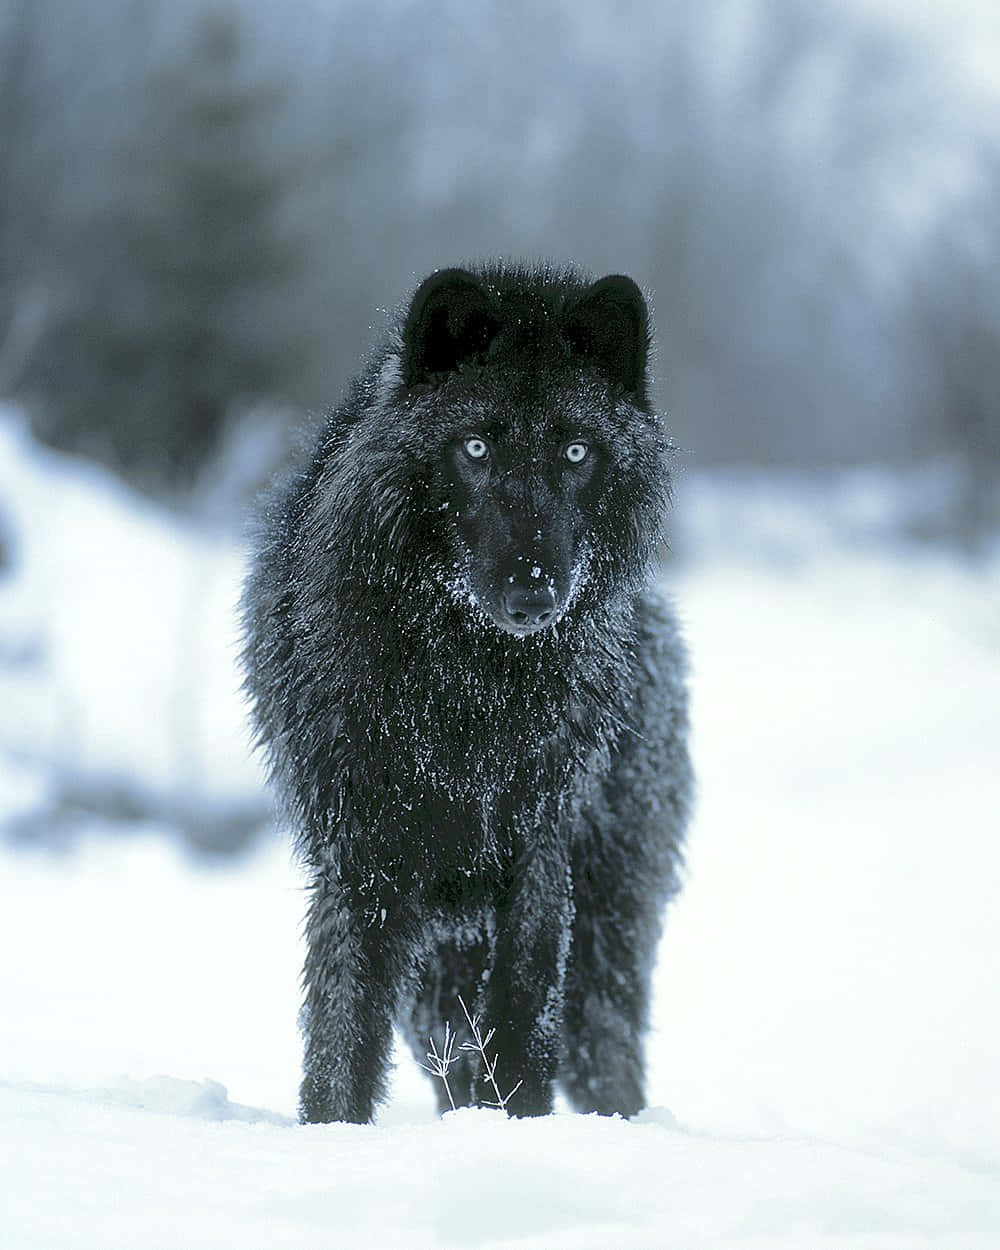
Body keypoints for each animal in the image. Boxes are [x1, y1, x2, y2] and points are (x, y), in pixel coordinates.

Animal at [242, 262, 692, 1124]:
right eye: (476, 446)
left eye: (576, 451)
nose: (533, 593)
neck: (471, 692)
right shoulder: (364, 861)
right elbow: (342, 1035)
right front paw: (331, 1132)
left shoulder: (538, 851)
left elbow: (521, 1019)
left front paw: (514, 1126)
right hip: (437, 965)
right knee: (452, 1055)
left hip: (602, 934)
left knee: (604, 1053)